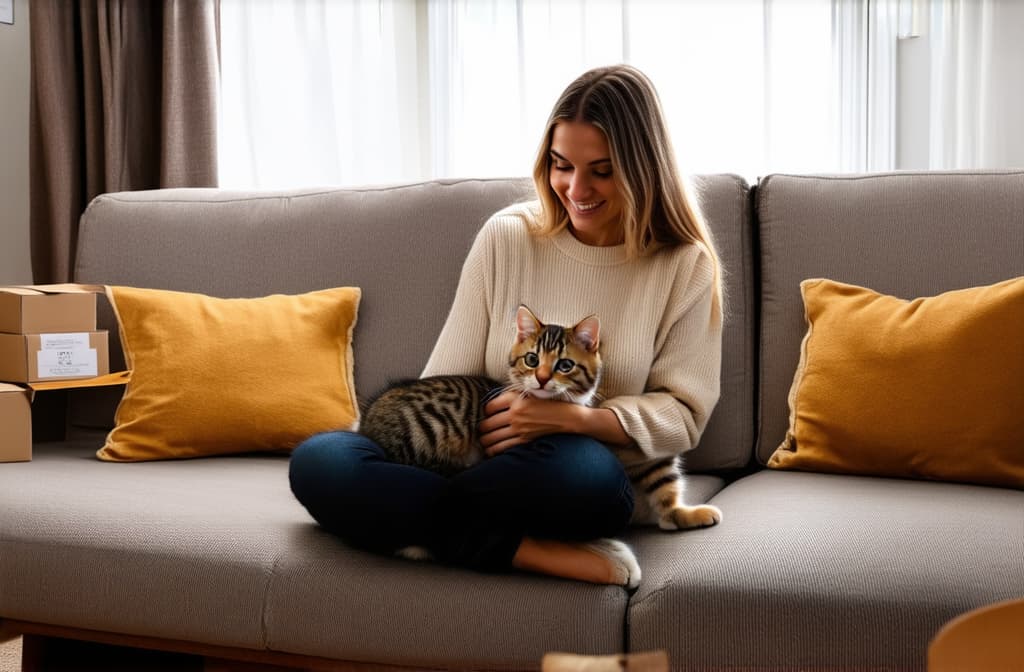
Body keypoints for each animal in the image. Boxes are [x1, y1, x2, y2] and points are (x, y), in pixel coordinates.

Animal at [358, 305, 720, 528]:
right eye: (532, 359)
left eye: (565, 365)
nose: (543, 378)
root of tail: (367, 422)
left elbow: (659, 474)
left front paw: (681, 514)